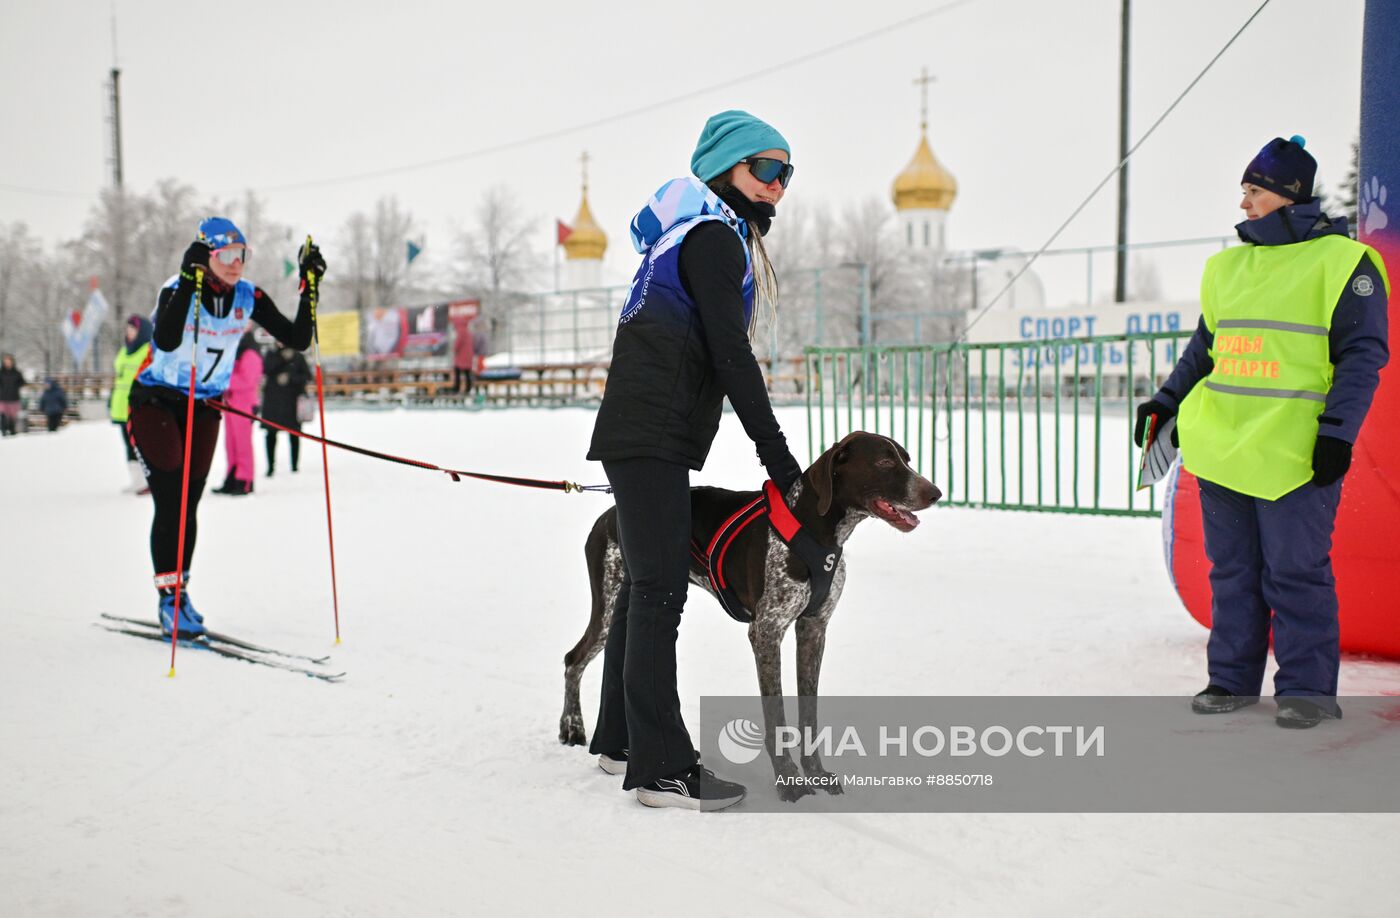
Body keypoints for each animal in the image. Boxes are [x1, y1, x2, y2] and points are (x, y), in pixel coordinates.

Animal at [557, 433, 940, 800]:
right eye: (884, 461)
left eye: (906, 458)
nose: (935, 493)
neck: (814, 530)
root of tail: (608, 515)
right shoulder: (767, 632)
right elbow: (776, 719)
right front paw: (790, 783)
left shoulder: (813, 629)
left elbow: (809, 716)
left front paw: (816, 774)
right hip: (609, 603)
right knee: (573, 659)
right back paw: (573, 727)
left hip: (626, 602)